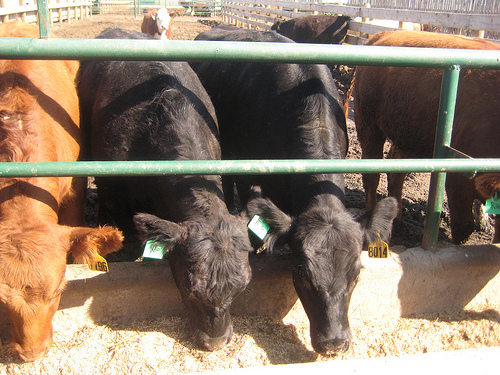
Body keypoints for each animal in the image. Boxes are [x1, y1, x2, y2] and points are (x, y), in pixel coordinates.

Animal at [352, 30, 500, 245]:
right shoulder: (458, 179)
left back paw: (397, 219)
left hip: (407, 137)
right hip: (369, 125)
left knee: (395, 173)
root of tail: (384, 33)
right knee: (372, 175)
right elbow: (463, 227)